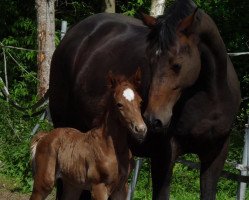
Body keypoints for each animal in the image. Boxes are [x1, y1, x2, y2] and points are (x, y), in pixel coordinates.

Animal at [29, 69, 146, 199]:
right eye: (119, 104)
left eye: (140, 102)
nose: (141, 129)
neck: (111, 148)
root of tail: (44, 136)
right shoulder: (99, 187)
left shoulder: (121, 188)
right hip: (44, 183)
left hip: (72, 185)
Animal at [49, 0, 241, 199]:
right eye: (150, 61)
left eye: (177, 65)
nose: (152, 119)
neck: (210, 99)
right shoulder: (164, 156)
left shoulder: (215, 155)